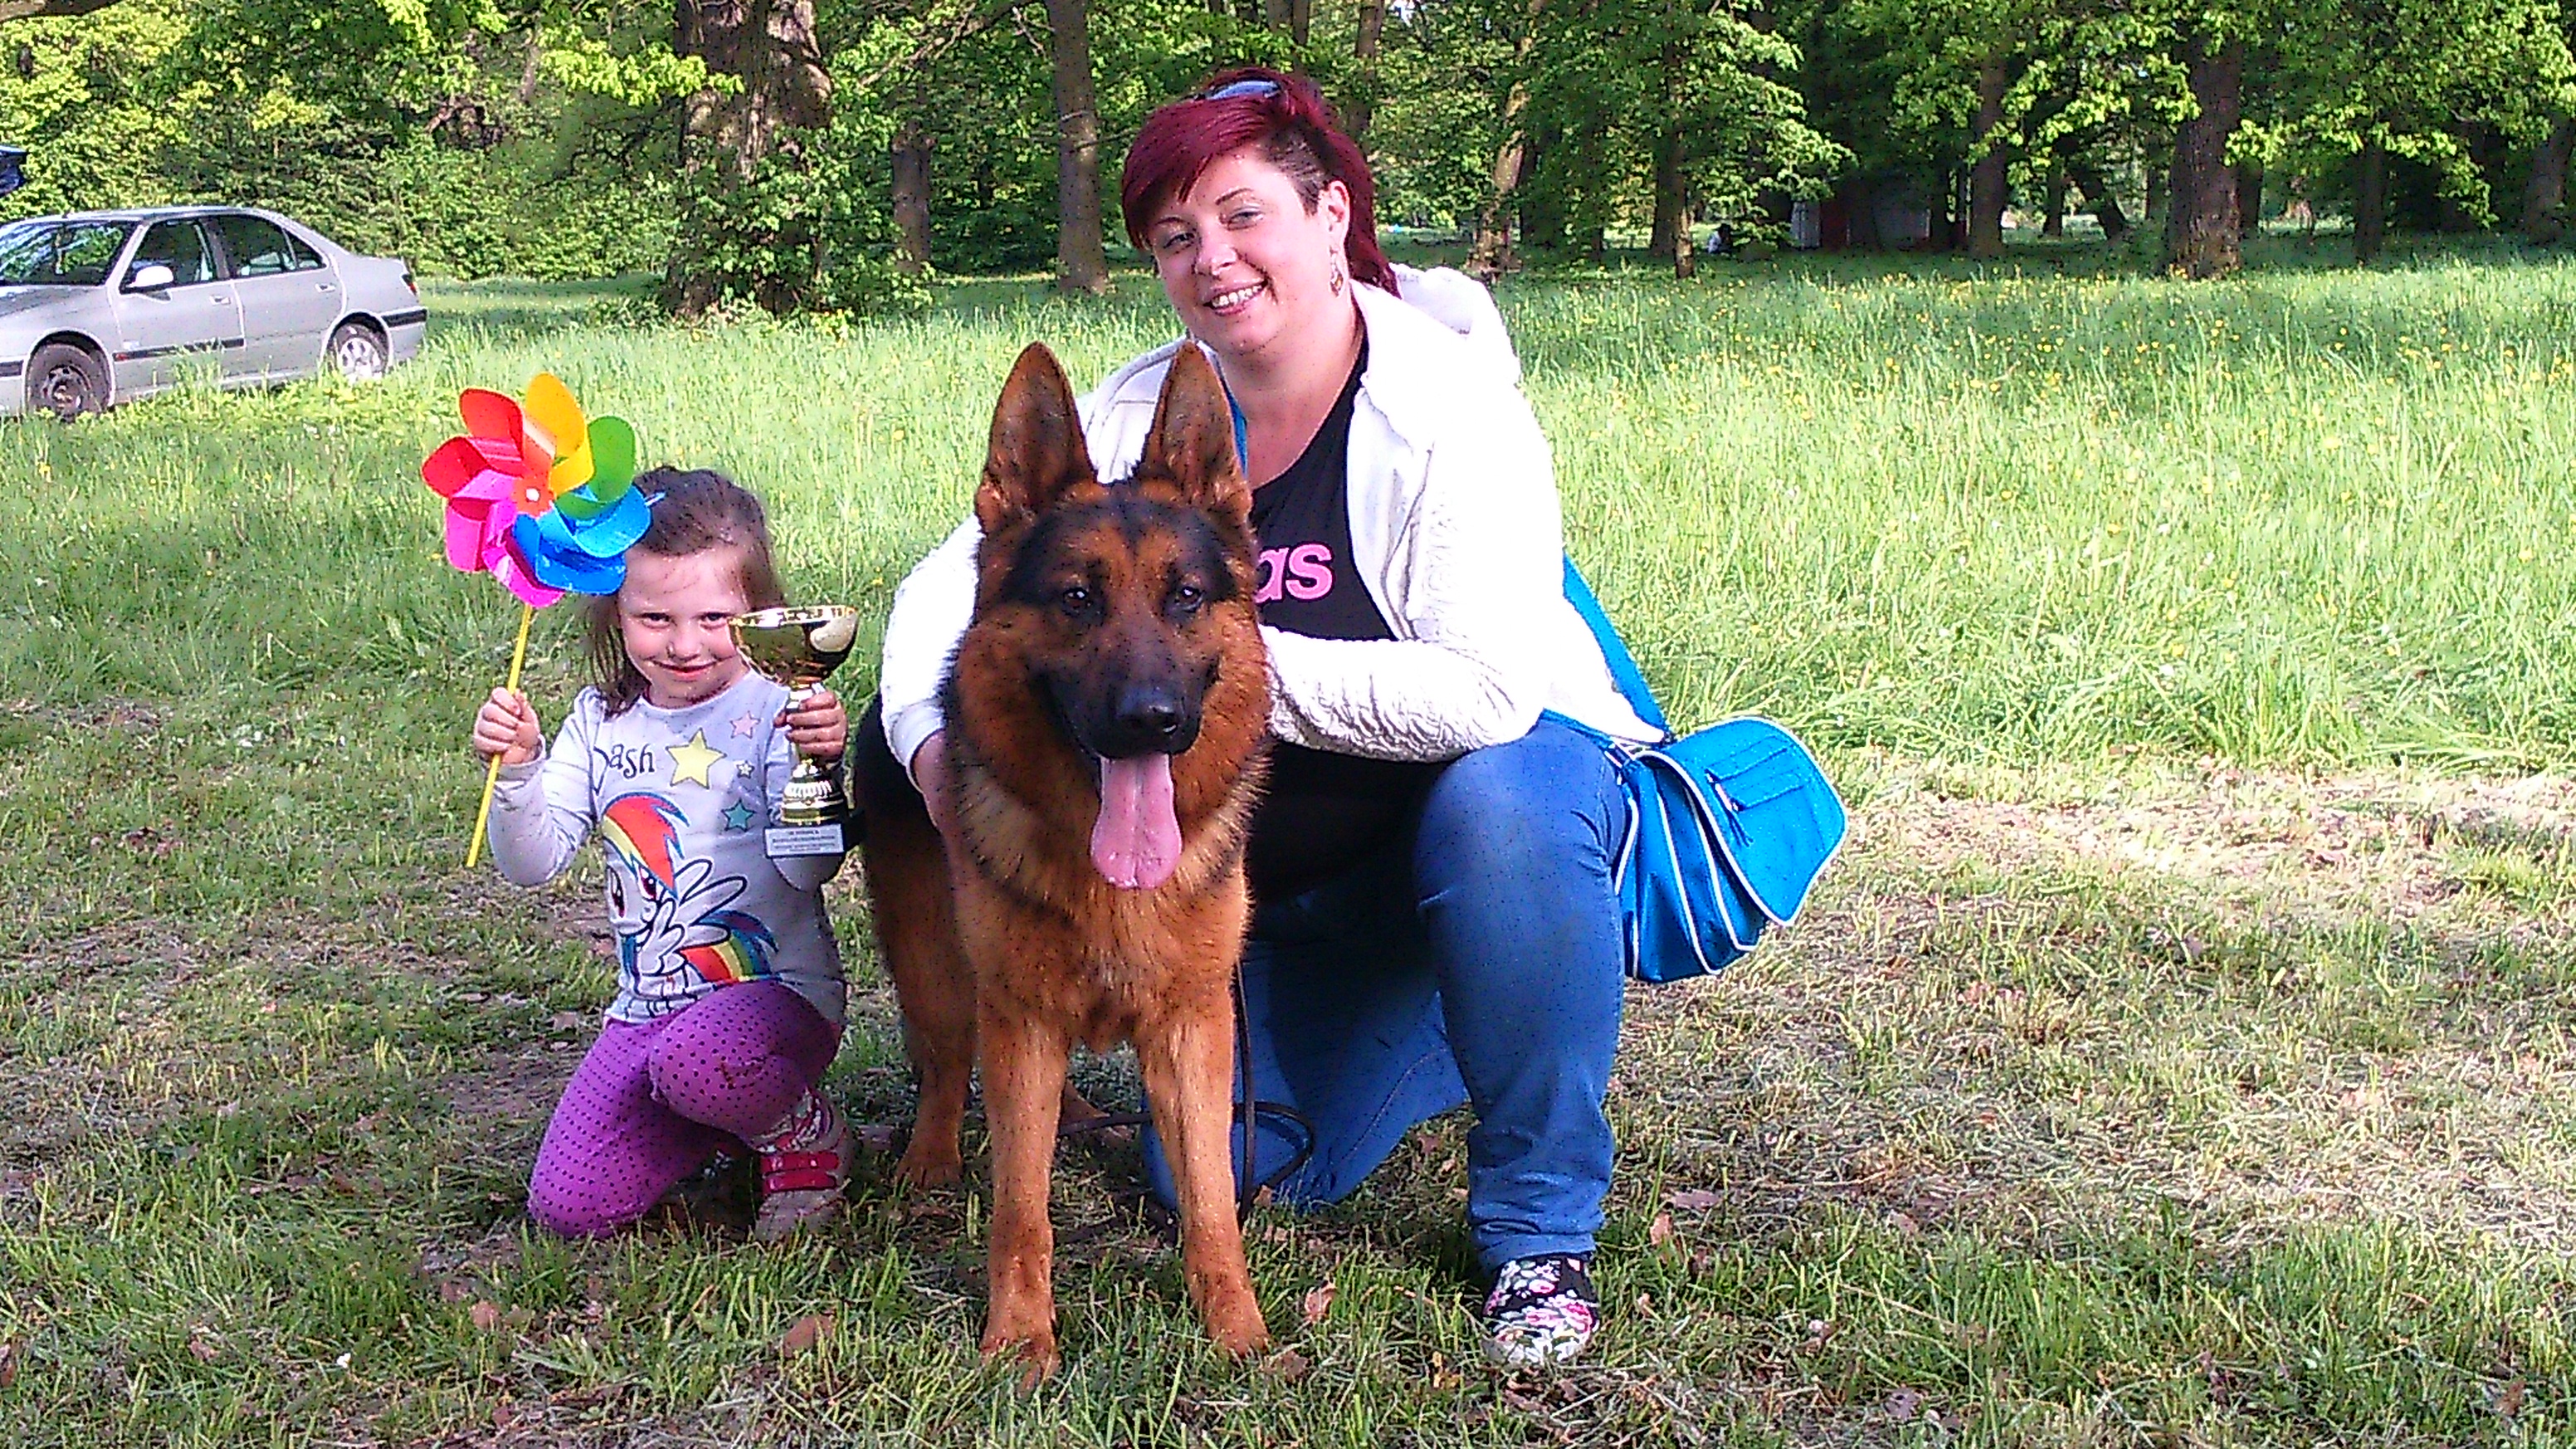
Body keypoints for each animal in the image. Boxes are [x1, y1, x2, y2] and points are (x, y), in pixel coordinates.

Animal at [854, 341, 1272, 1376]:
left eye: (1185, 597)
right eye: (1076, 598)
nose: (1152, 721)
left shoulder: (1193, 1032)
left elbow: (1211, 1201)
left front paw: (1235, 1331)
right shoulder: (1021, 1021)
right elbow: (1020, 1206)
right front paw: (1016, 1337)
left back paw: (1078, 1113)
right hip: (938, 967)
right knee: (943, 1061)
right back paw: (930, 1159)